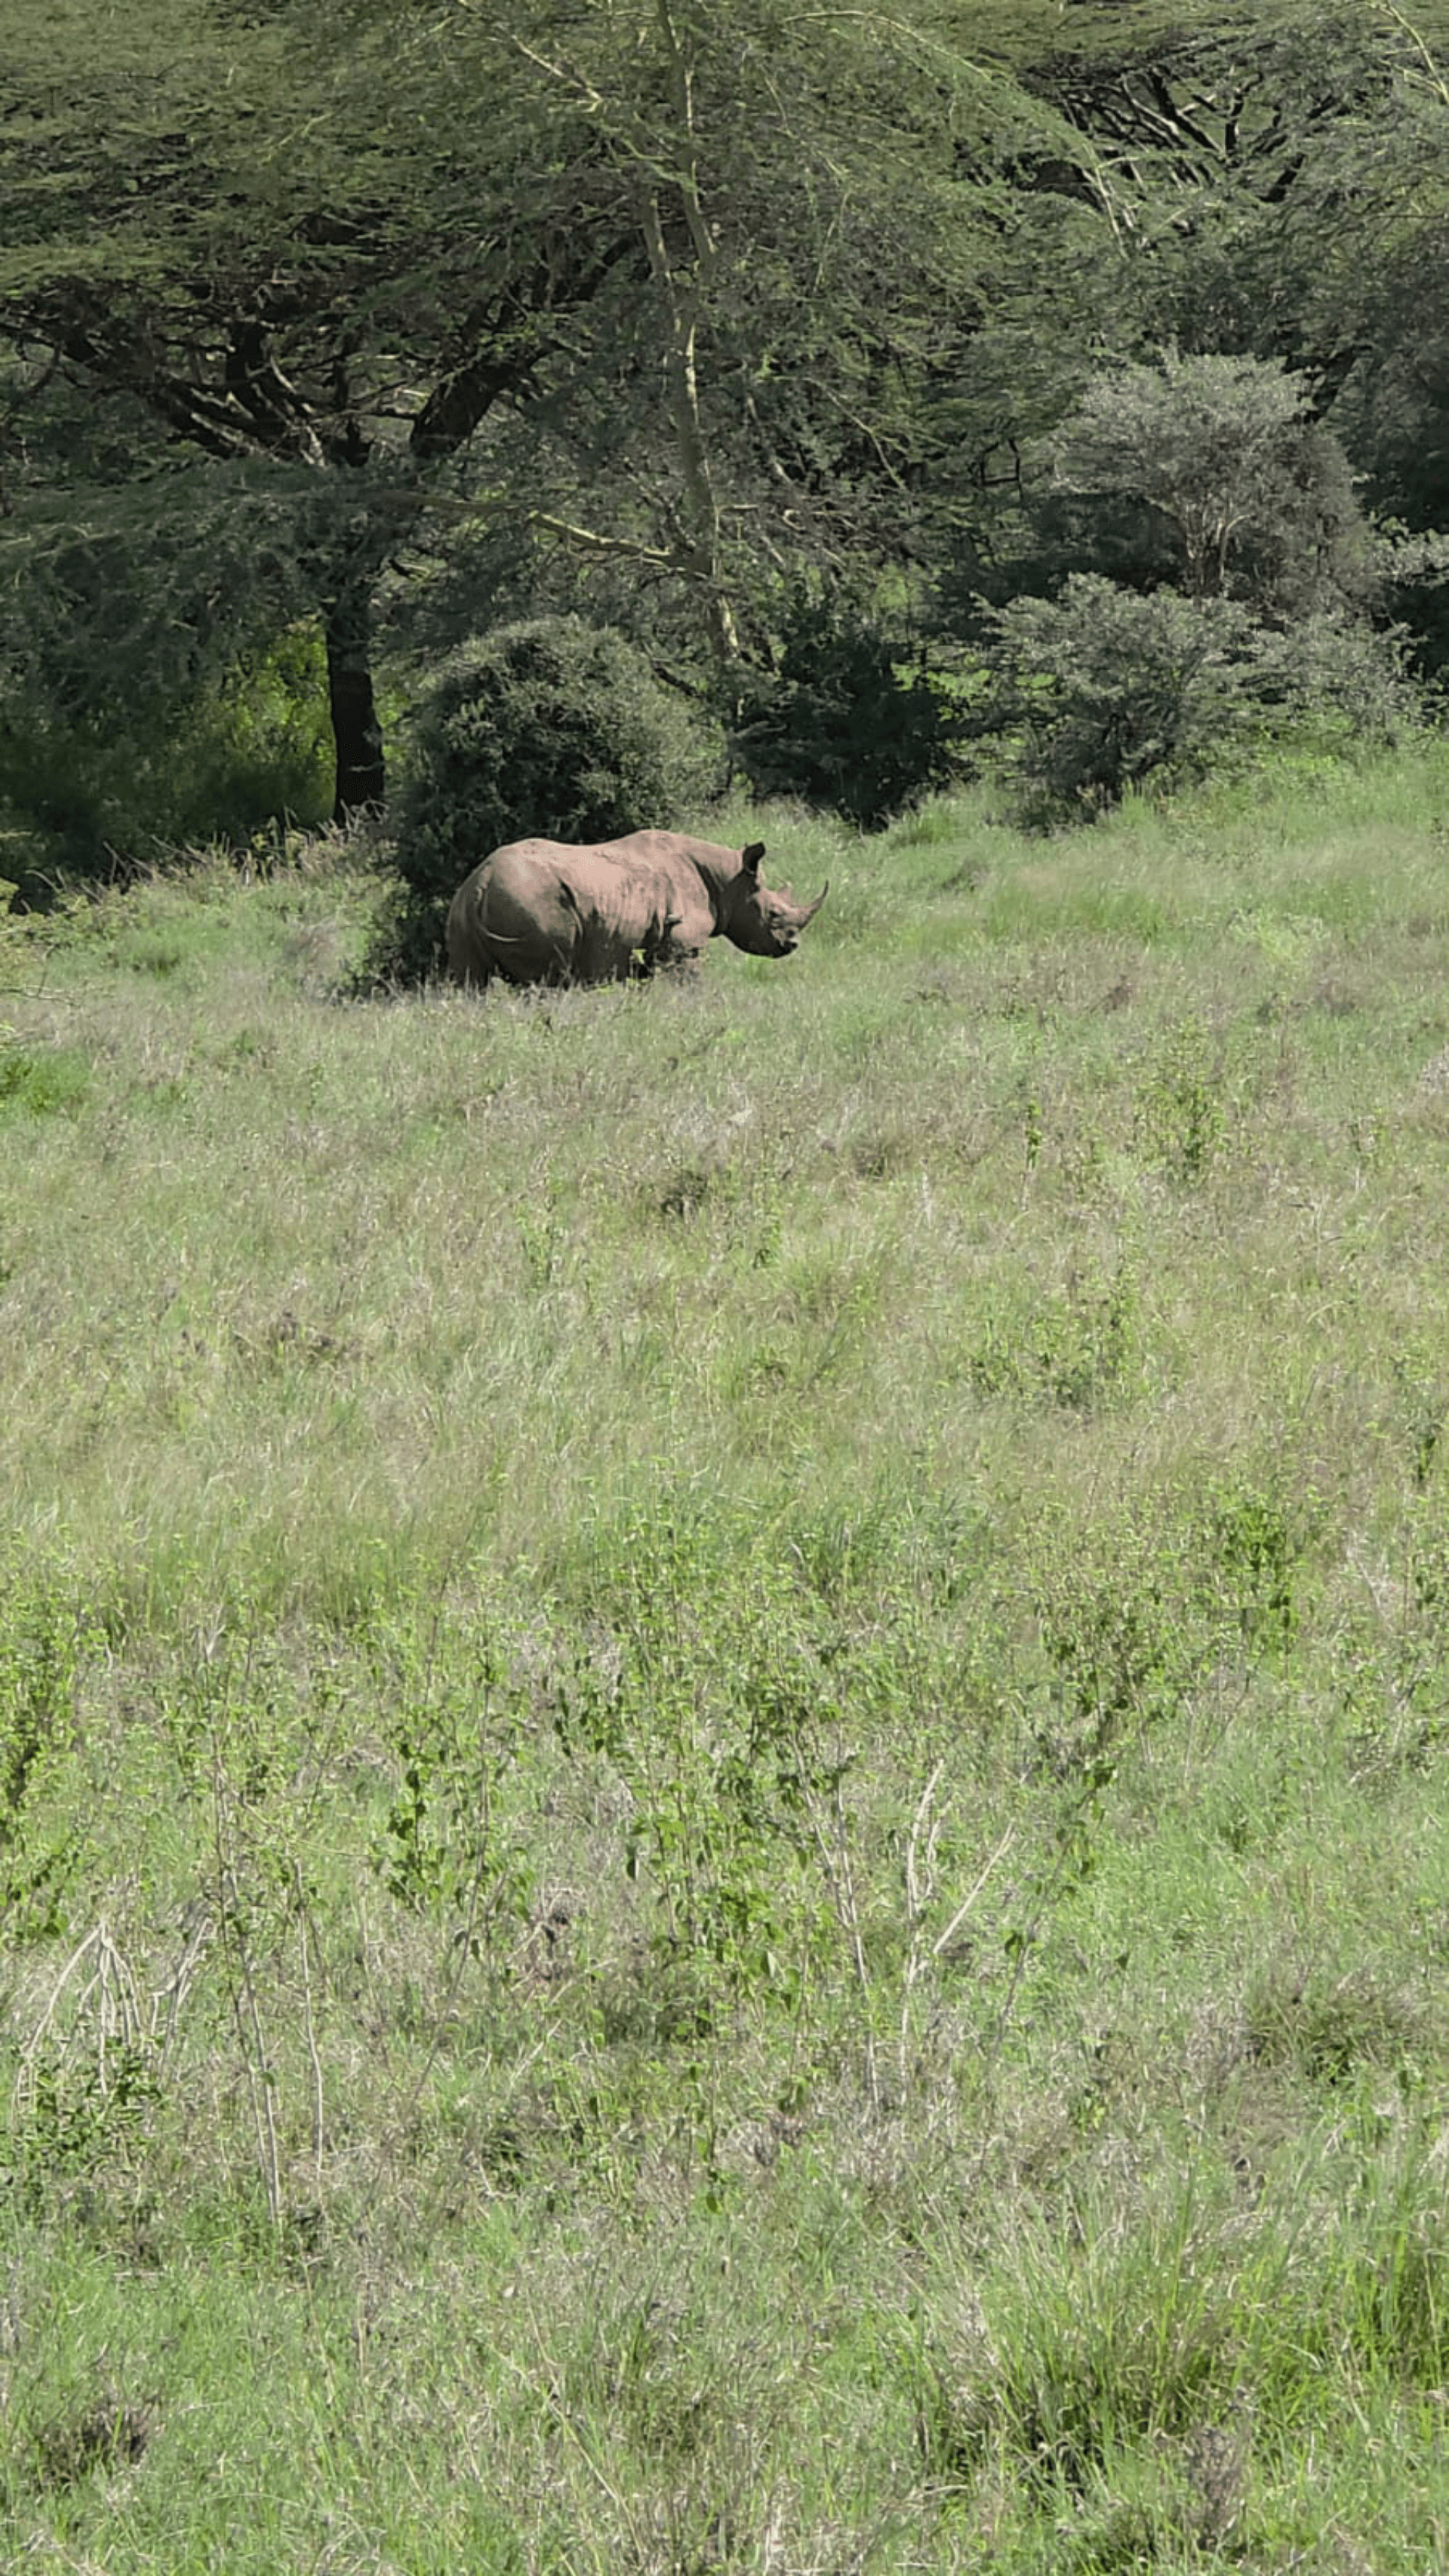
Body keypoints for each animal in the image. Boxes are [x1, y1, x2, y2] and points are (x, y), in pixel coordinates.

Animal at [445, 829, 828, 989]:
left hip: (462, 911)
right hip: (531, 900)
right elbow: (689, 984)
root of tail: (481, 883)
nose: (792, 946)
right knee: (541, 980)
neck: (728, 880)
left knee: (470, 983)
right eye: (774, 914)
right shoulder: (683, 945)